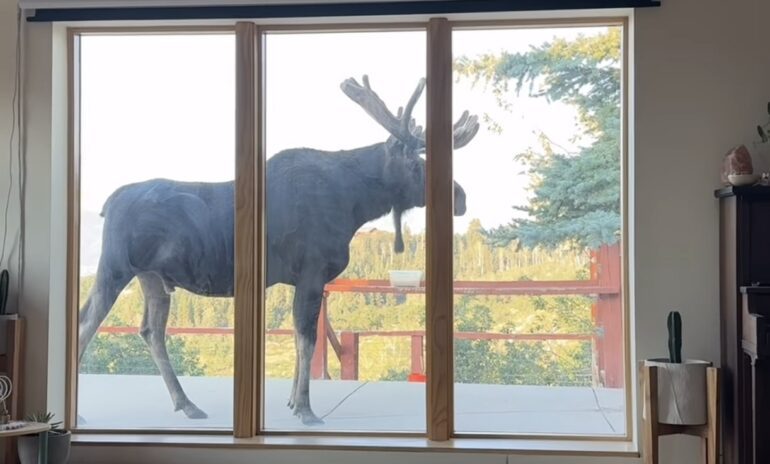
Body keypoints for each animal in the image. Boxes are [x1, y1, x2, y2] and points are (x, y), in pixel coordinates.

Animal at [77, 75, 479, 426]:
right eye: (414, 161)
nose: (460, 196)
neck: (354, 203)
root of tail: (107, 204)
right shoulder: (313, 271)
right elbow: (306, 337)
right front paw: (305, 408)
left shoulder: (300, 279)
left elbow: (301, 337)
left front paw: (291, 401)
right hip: (115, 267)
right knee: (86, 321)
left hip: (152, 277)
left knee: (151, 330)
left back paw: (187, 404)